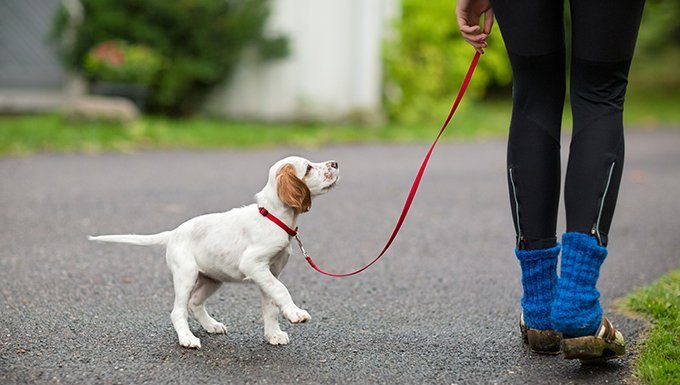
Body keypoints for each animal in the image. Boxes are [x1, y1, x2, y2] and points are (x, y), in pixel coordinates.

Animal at [90, 155, 340, 348]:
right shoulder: (253, 264)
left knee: (194, 303)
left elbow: (271, 305)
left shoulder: (269, 273)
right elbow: (281, 290)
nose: (336, 163)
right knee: (178, 311)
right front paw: (296, 313)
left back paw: (211, 325)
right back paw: (187, 339)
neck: (273, 217)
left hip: (212, 278)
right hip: (186, 275)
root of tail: (173, 233)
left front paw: (274, 334)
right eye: (308, 168)